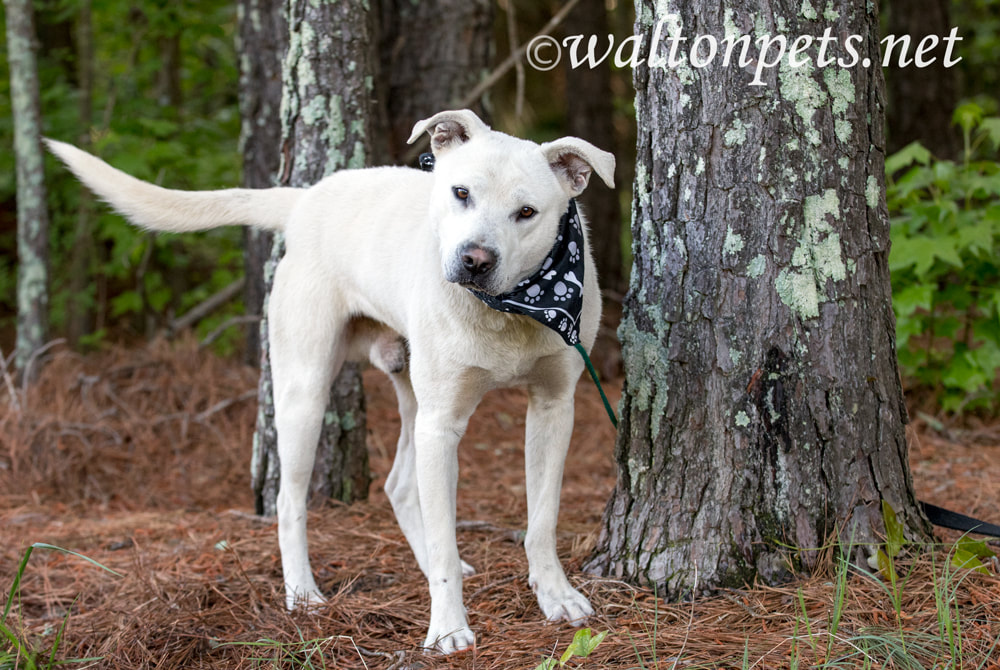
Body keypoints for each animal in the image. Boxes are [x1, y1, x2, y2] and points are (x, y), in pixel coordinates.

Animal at [48, 111, 616, 656]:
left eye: (527, 213)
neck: (513, 307)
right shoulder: (442, 425)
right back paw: (303, 594)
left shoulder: (553, 407)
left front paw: (556, 595)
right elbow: (444, 543)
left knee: (398, 485)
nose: (474, 260)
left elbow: (541, 519)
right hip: (306, 394)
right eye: (461, 193)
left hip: (410, 394)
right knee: (289, 502)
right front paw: (448, 629)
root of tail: (306, 199)